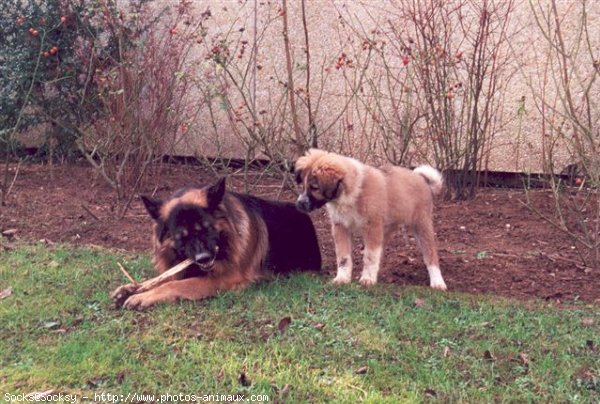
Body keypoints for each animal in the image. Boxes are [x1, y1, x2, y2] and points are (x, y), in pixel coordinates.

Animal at [118, 178, 324, 310]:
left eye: (207, 228)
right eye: (181, 236)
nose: (203, 258)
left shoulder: (223, 279)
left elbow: (176, 285)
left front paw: (142, 297)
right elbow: (163, 279)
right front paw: (132, 288)